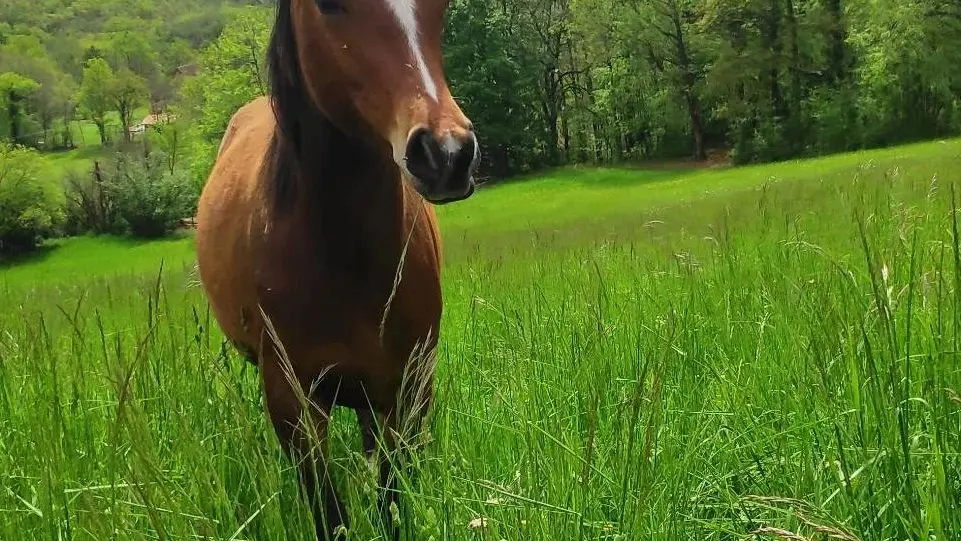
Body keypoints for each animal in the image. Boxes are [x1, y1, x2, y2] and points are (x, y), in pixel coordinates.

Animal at [194, 0, 479, 538]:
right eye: (327, 6)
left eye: (443, 5)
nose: (447, 153)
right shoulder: (292, 401)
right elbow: (330, 513)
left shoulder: (409, 388)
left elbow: (392, 502)